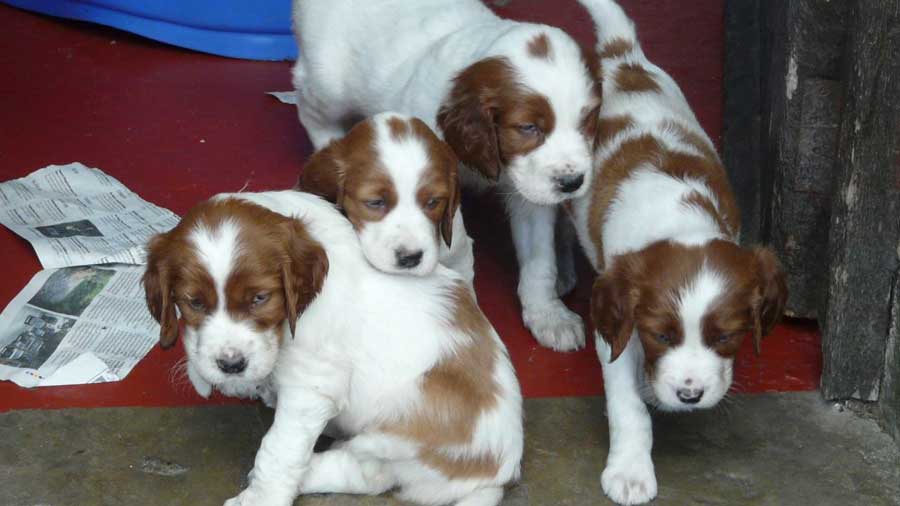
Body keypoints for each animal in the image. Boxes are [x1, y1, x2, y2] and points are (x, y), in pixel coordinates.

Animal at [144, 191, 524, 506]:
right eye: (194, 302)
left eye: (260, 299)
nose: (231, 364)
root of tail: (499, 475)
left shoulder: (312, 387)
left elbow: (279, 448)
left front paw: (260, 499)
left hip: (401, 429)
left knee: (369, 471)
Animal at [568, 1, 788, 504]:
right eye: (661, 336)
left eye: (726, 336)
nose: (690, 396)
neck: (679, 218)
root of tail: (623, 59)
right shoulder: (617, 327)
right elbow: (627, 404)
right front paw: (630, 471)